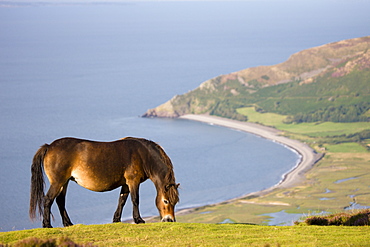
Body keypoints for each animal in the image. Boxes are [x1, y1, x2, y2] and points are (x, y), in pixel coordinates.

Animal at [28, 137, 179, 228]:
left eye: (175, 202)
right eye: (166, 201)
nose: (170, 220)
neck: (143, 155)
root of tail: (49, 146)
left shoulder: (126, 184)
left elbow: (122, 200)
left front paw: (116, 219)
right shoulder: (133, 182)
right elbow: (135, 200)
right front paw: (138, 220)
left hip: (64, 182)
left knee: (60, 201)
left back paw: (68, 223)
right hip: (58, 182)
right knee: (48, 200)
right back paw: (47, 225)